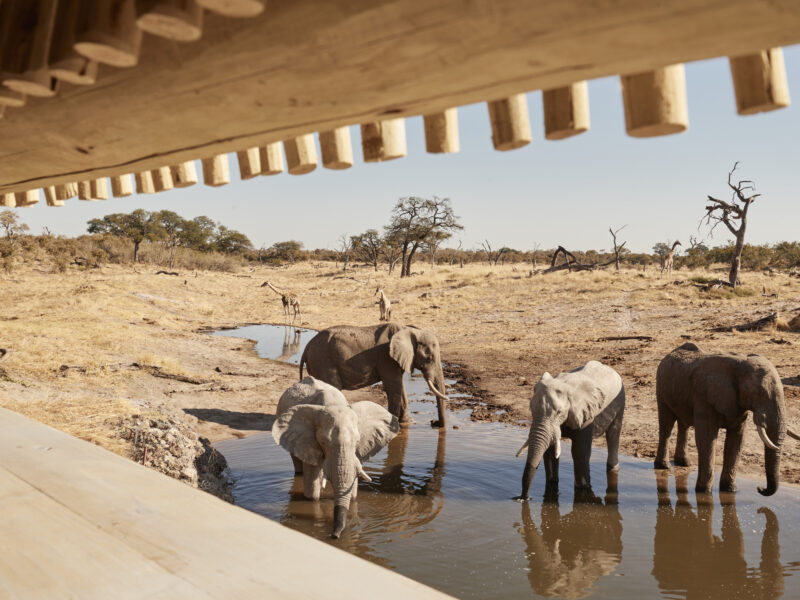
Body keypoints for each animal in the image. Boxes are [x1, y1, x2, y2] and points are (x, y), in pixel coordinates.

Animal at [272, 377, 400, 538]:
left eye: (357, 441)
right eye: (323, 442)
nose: (334, 535)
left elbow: (352, 488)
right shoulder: (308, 441)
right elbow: (312, 489)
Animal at [299, 323, 449, 427]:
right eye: (429, 358)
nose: (434, 422)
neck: (408, 330)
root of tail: (306, 348)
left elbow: (400, 387)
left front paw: (405, 422)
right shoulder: (386, 357)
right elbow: (393, 387)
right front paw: (394, 425)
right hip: (322, 361)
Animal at [515, 360, 625, 499]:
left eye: (559, 412)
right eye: (531, 409)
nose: (523, 498)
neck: (566, 386)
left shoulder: (586, 415)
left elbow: (580, 451)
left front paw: (582, 488)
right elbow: (550, 451)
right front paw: (552, 483)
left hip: (620, 400)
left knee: (613, 433)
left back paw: (613, 468)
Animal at [655, 343, 800, 495]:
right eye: (757, 393)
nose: (760, 488)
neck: (739, 365)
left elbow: (737, 440)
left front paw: (730, 490)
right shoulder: (704, 397)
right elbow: (706, 438)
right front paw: (704, 492)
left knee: (684, 424)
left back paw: (684, 463)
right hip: (661, 389)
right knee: (666, 425)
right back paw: (663, 466)